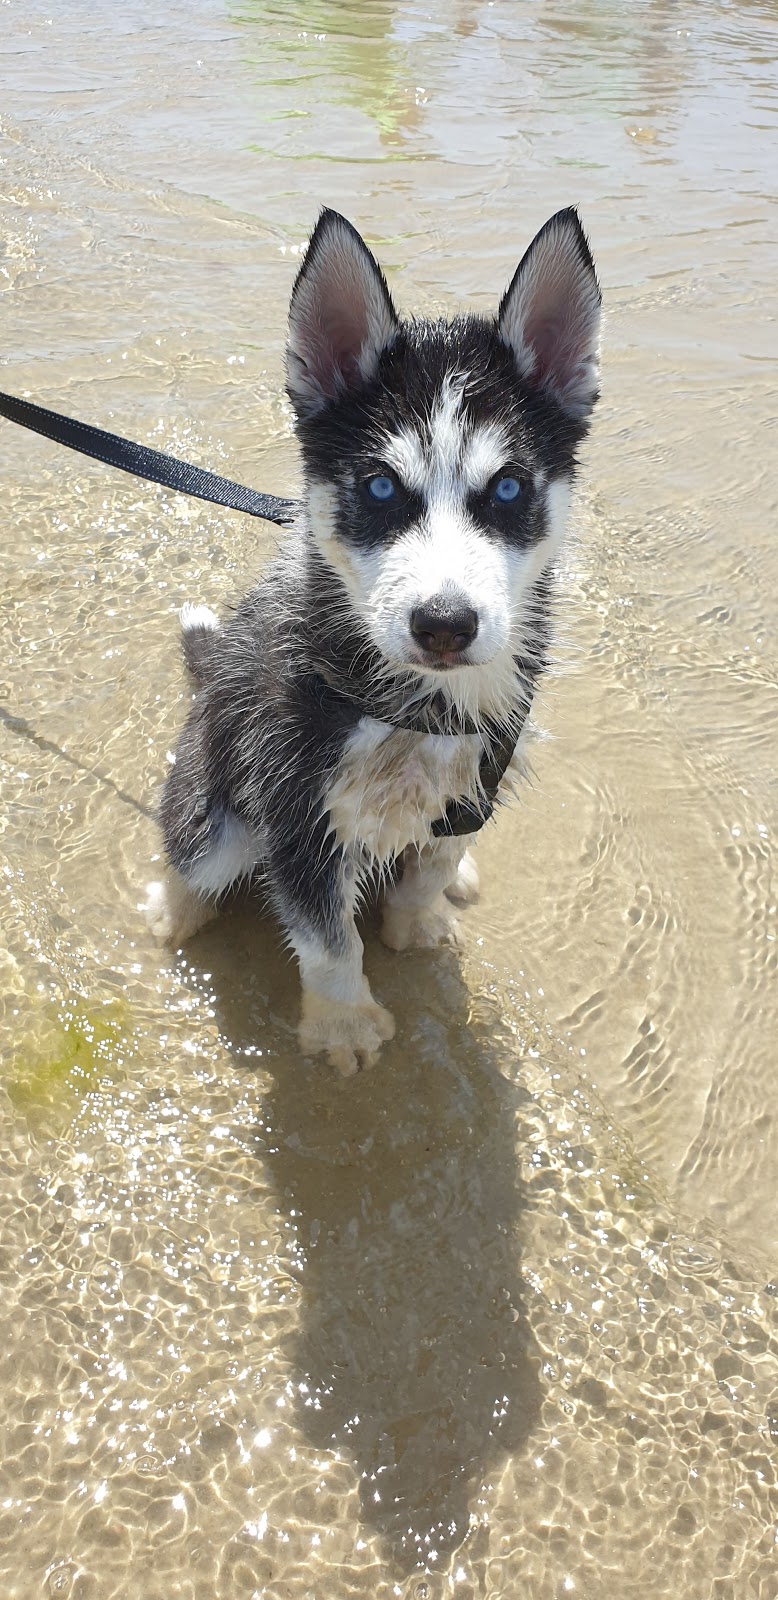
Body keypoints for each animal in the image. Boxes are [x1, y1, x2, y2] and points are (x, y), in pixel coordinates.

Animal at [148, 206, 605, 1068]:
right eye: (382, 487)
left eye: (507, 488)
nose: (445, 625)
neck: (416, 708)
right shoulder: (292, 803)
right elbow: (328, 940)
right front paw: (344, 1025)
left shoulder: (478, 776)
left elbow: (430, 864)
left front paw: (417, 918)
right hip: (216, 789)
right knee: (198, 851)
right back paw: (175, 905)